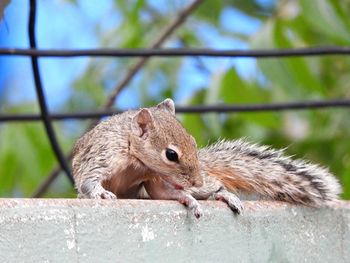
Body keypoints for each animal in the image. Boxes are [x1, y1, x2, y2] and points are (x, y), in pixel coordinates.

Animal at [72, 99, 342, 219]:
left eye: (193, 142)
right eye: (171, 154)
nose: (197, 181)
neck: (135, 157)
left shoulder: (153, 178)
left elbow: (165, 192)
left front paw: (189, 199)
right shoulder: (104, 151)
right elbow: (88, 179)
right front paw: (100, 193)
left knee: (214, 187)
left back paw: (221, 194)